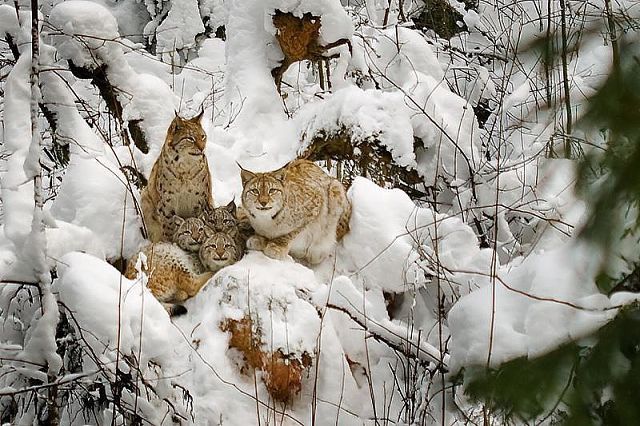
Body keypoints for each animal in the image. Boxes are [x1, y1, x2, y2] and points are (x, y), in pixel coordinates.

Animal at [141, 110, 214, 243]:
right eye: (190, 138)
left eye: (203, 136)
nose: (202, 149)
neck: (185, 169)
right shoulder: (166, 203)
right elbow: (168, 227)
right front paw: (171, 243)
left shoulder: (200, 201)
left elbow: (198, 221)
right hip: (145, 197)